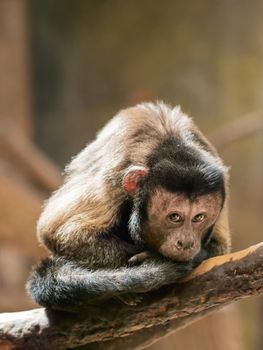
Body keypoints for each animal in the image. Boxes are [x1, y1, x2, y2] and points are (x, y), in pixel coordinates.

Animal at [27, 101, 231, 308]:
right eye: (175, 217)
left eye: (199, 218)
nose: (186, 242)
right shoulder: (113, 179)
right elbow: (56, 232)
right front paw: (151, 264)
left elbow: (220, 249)